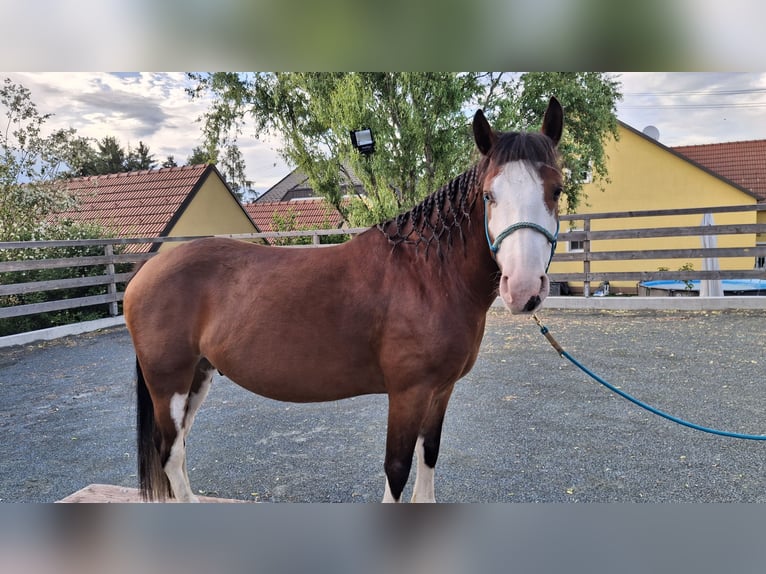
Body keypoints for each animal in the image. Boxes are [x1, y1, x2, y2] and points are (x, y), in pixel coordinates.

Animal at [124, 97, 564, 502]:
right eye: (489, 195)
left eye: (556, 190)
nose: (523, 289)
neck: (427, 274)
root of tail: (143, 273)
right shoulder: (408, 393)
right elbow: (397, 468)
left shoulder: (441, 390)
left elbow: (429, 456)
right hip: (170, 383)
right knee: (170, 453)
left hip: (198, 375)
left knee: (179, 447)